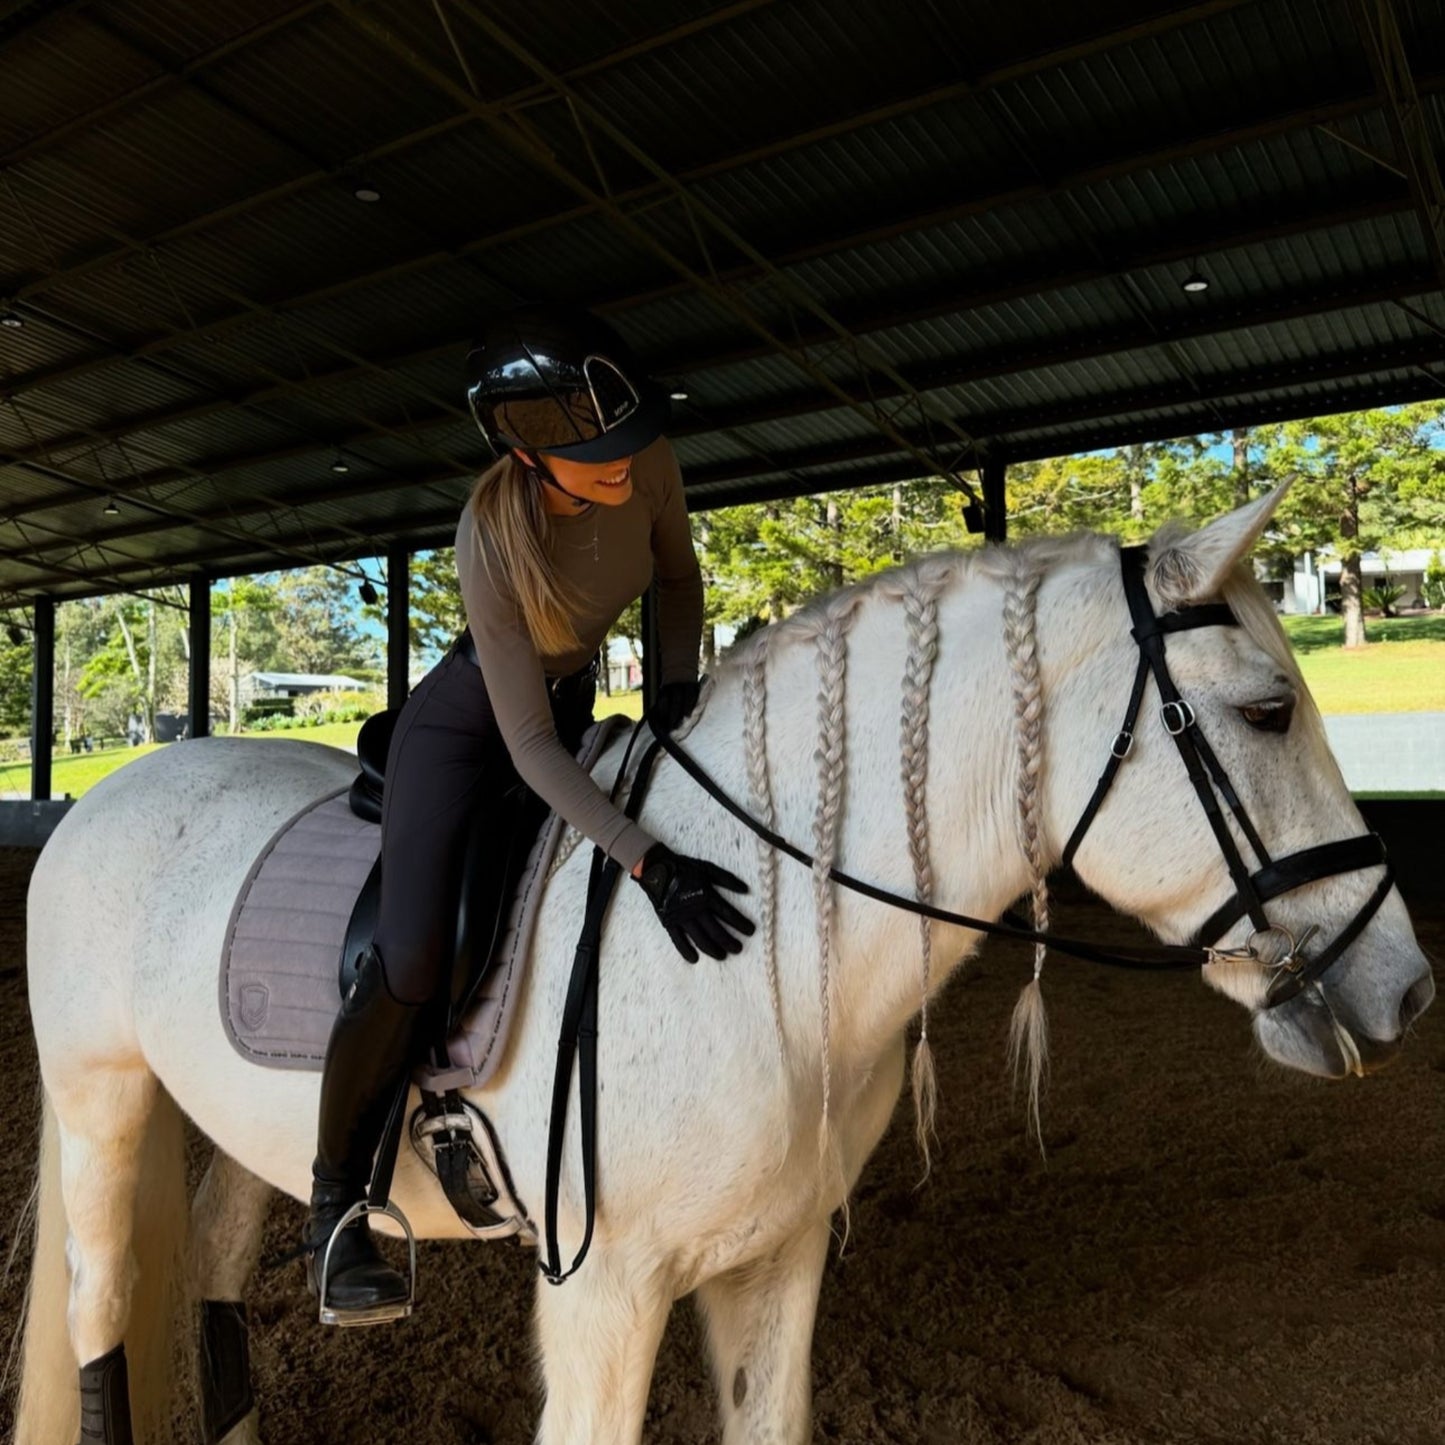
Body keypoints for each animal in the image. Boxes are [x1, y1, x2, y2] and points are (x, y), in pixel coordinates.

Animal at [11, 491, 1433, 1439]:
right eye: (1265, 710)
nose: (1405, 986)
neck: (769, 954)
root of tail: (114, 790)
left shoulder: (775, 1262)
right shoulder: (599, 1290)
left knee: (209, 1288)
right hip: (102, 1099)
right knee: (98, 1319)